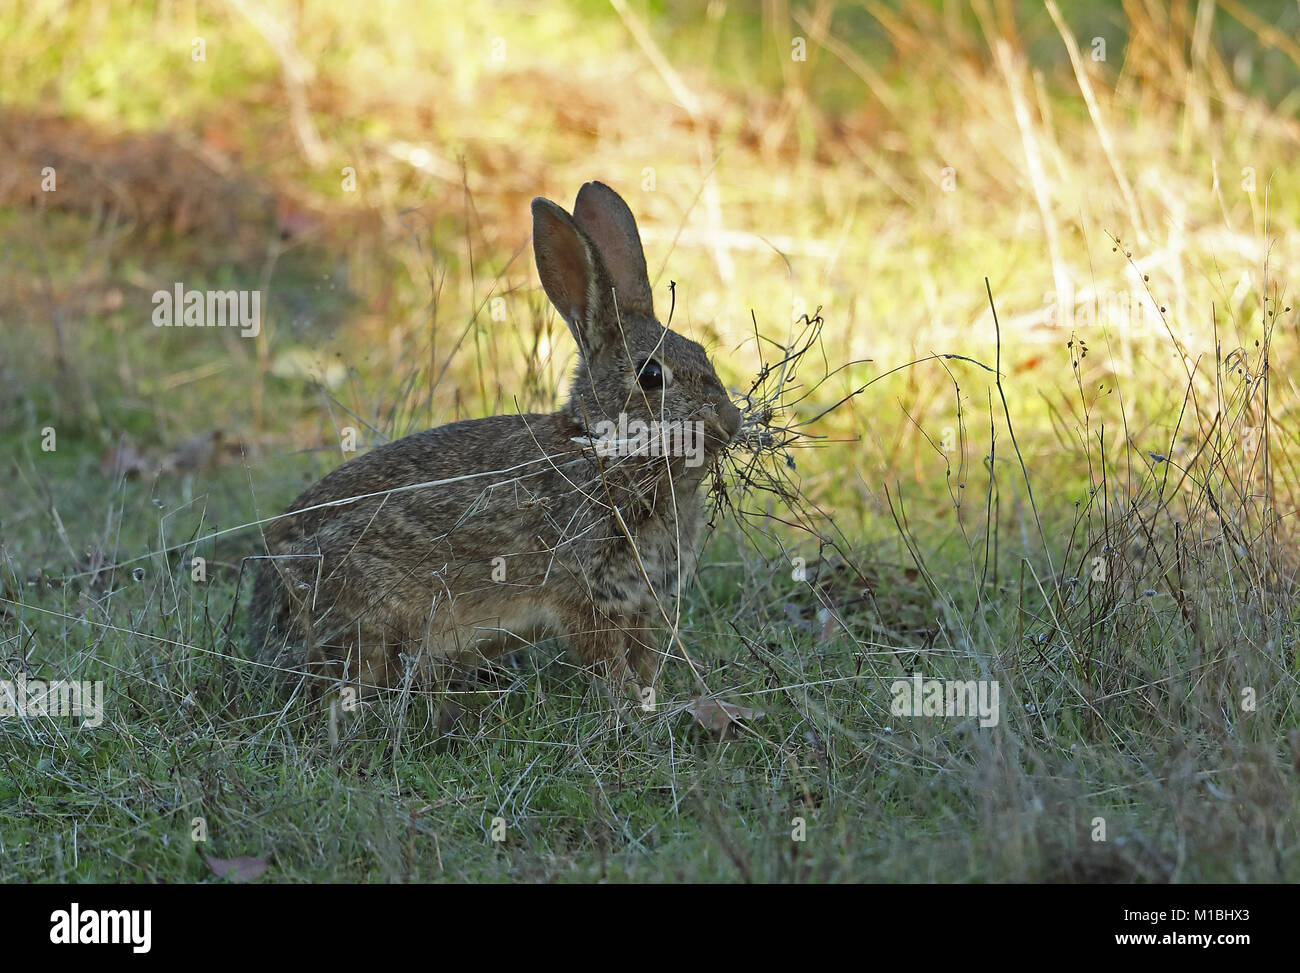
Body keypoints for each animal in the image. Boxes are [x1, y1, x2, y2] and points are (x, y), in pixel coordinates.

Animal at [248, 178, 743, 702]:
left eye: (702, 353)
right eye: (651, 376)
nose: (730, 421)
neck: (602, 453)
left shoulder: (638, 603)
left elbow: (644, 656)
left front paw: (653, 697)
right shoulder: (583, 596)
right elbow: (608, 662)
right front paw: (628, 703)